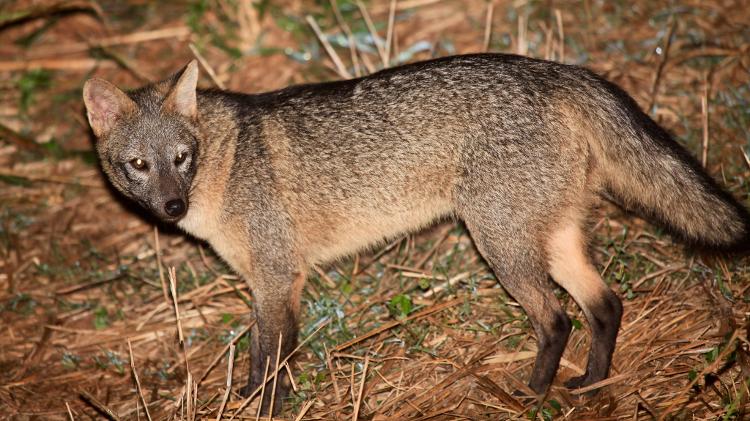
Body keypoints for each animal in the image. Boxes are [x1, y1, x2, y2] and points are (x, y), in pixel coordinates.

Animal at [82, 53, 750, 414]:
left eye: (181, 158)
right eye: (139, 164)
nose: (171, 206)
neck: (224, 162)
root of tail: (550, 68)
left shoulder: (278, 277)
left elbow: (273, 357)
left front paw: (267, 408)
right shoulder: (265, 281)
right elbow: (258, 354)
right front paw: (248, 399)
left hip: (501, 246)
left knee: (557, 319)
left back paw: (530, 394)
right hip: (547, 239)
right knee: (606, 305)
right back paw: (591, 382)